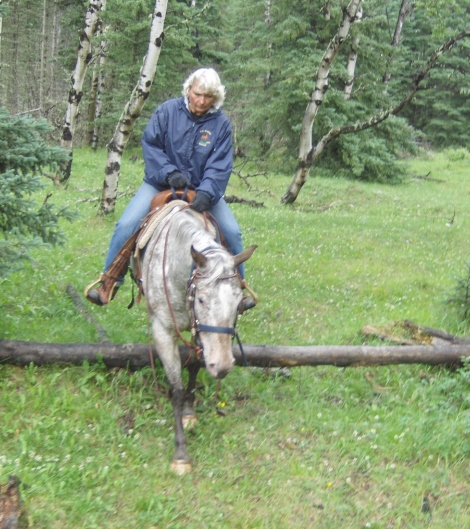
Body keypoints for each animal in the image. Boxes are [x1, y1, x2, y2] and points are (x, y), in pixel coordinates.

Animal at [140, 200, 258, 472]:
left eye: (239, 301)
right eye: (202, 299)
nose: (223, 367)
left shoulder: (199, 333)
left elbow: (193, 368)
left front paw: (190, 413)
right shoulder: (163, 331)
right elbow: (176, 389)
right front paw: (181, 453)